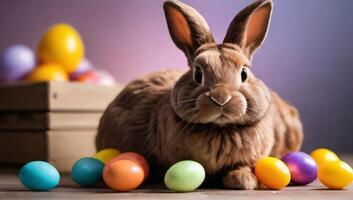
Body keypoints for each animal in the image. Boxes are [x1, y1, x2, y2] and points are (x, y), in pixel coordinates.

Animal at [96, 0, 302, 190]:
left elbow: (243, 166)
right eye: (198, 73)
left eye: (244, 73)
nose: (221, 98)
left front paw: (242, 180)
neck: (219, 129)